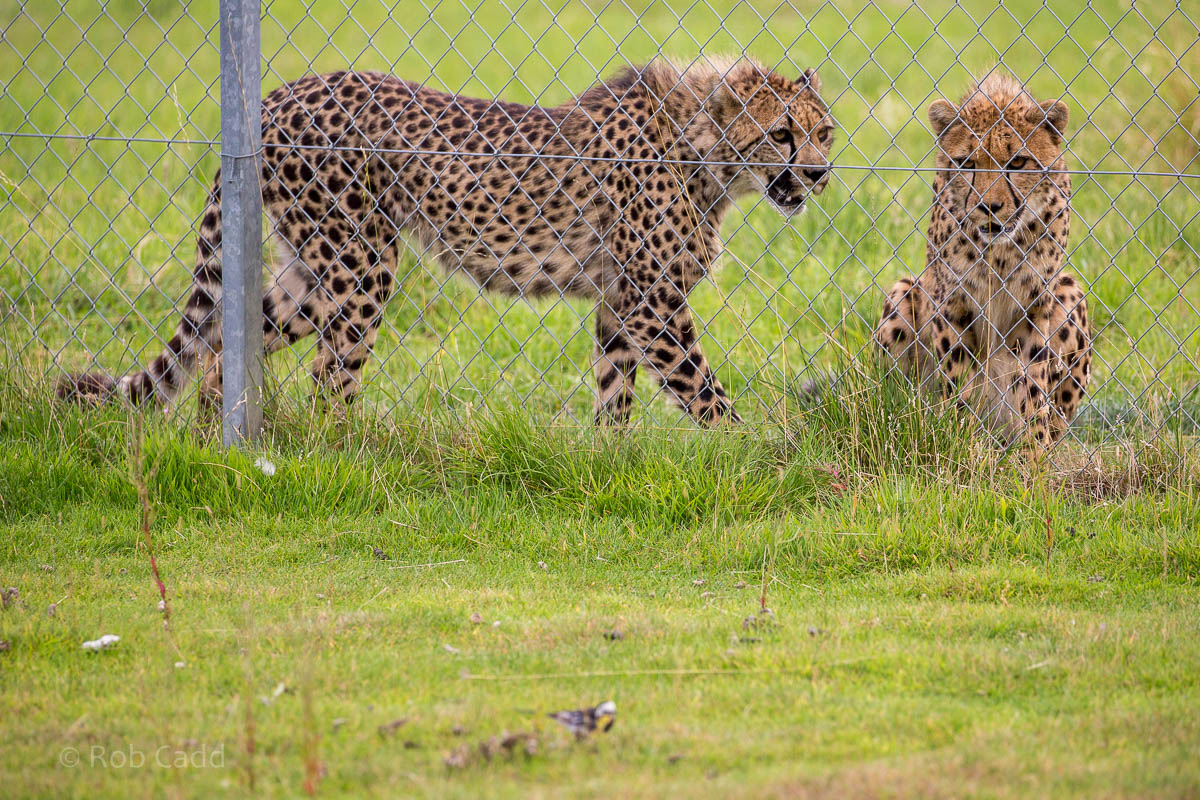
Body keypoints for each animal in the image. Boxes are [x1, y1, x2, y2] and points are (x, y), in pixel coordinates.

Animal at [58, 57, 834, 425]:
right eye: (781, 134)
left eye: (824, 131)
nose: (821, 173)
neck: (705, 148)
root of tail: (279, 95)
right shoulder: (653, 301)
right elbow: (704, 390)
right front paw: (756, 452)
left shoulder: (621, 301)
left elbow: (615, 396)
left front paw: (609, 466)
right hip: (361, 264)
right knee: (329, 377)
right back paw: (343, 458)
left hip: (310, 273)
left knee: (225, 347)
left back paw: (217, 442)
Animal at [876, 72, 1090, 450]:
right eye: (967, 163)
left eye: (1017, 162)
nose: (988, 207)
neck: (1000, 251)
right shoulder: (952, 302)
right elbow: (958, 378)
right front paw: (957, 437)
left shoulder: (1037, 306)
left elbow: (1032, 385)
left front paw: (1032, 454)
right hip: (904, 292)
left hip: (1070, 293)